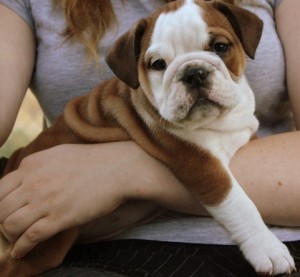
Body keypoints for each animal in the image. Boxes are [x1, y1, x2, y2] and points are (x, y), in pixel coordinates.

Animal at [0, 1, 296, 274]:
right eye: (158, 65)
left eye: (220, 47)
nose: (193, 73)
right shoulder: (199, 163)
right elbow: (237, 202)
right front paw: (266, 248)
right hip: (45, 243)